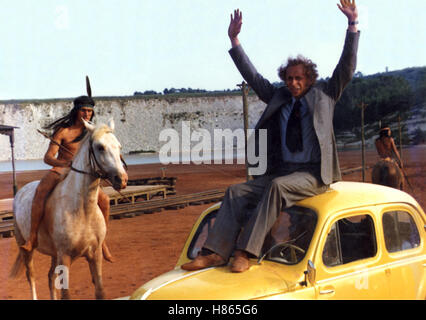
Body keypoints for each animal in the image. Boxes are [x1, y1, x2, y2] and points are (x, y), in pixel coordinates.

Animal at [10, 119, 126, 298]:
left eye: (118, 146)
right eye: (100, 147)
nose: (122, 179)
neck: (82, 211)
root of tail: (20, 192)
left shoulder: (95, 255)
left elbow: (99, 290)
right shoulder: (64, 257)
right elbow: (66, 294)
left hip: (53, 254)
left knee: (50, 277)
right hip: (25, 247)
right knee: (32, 277)